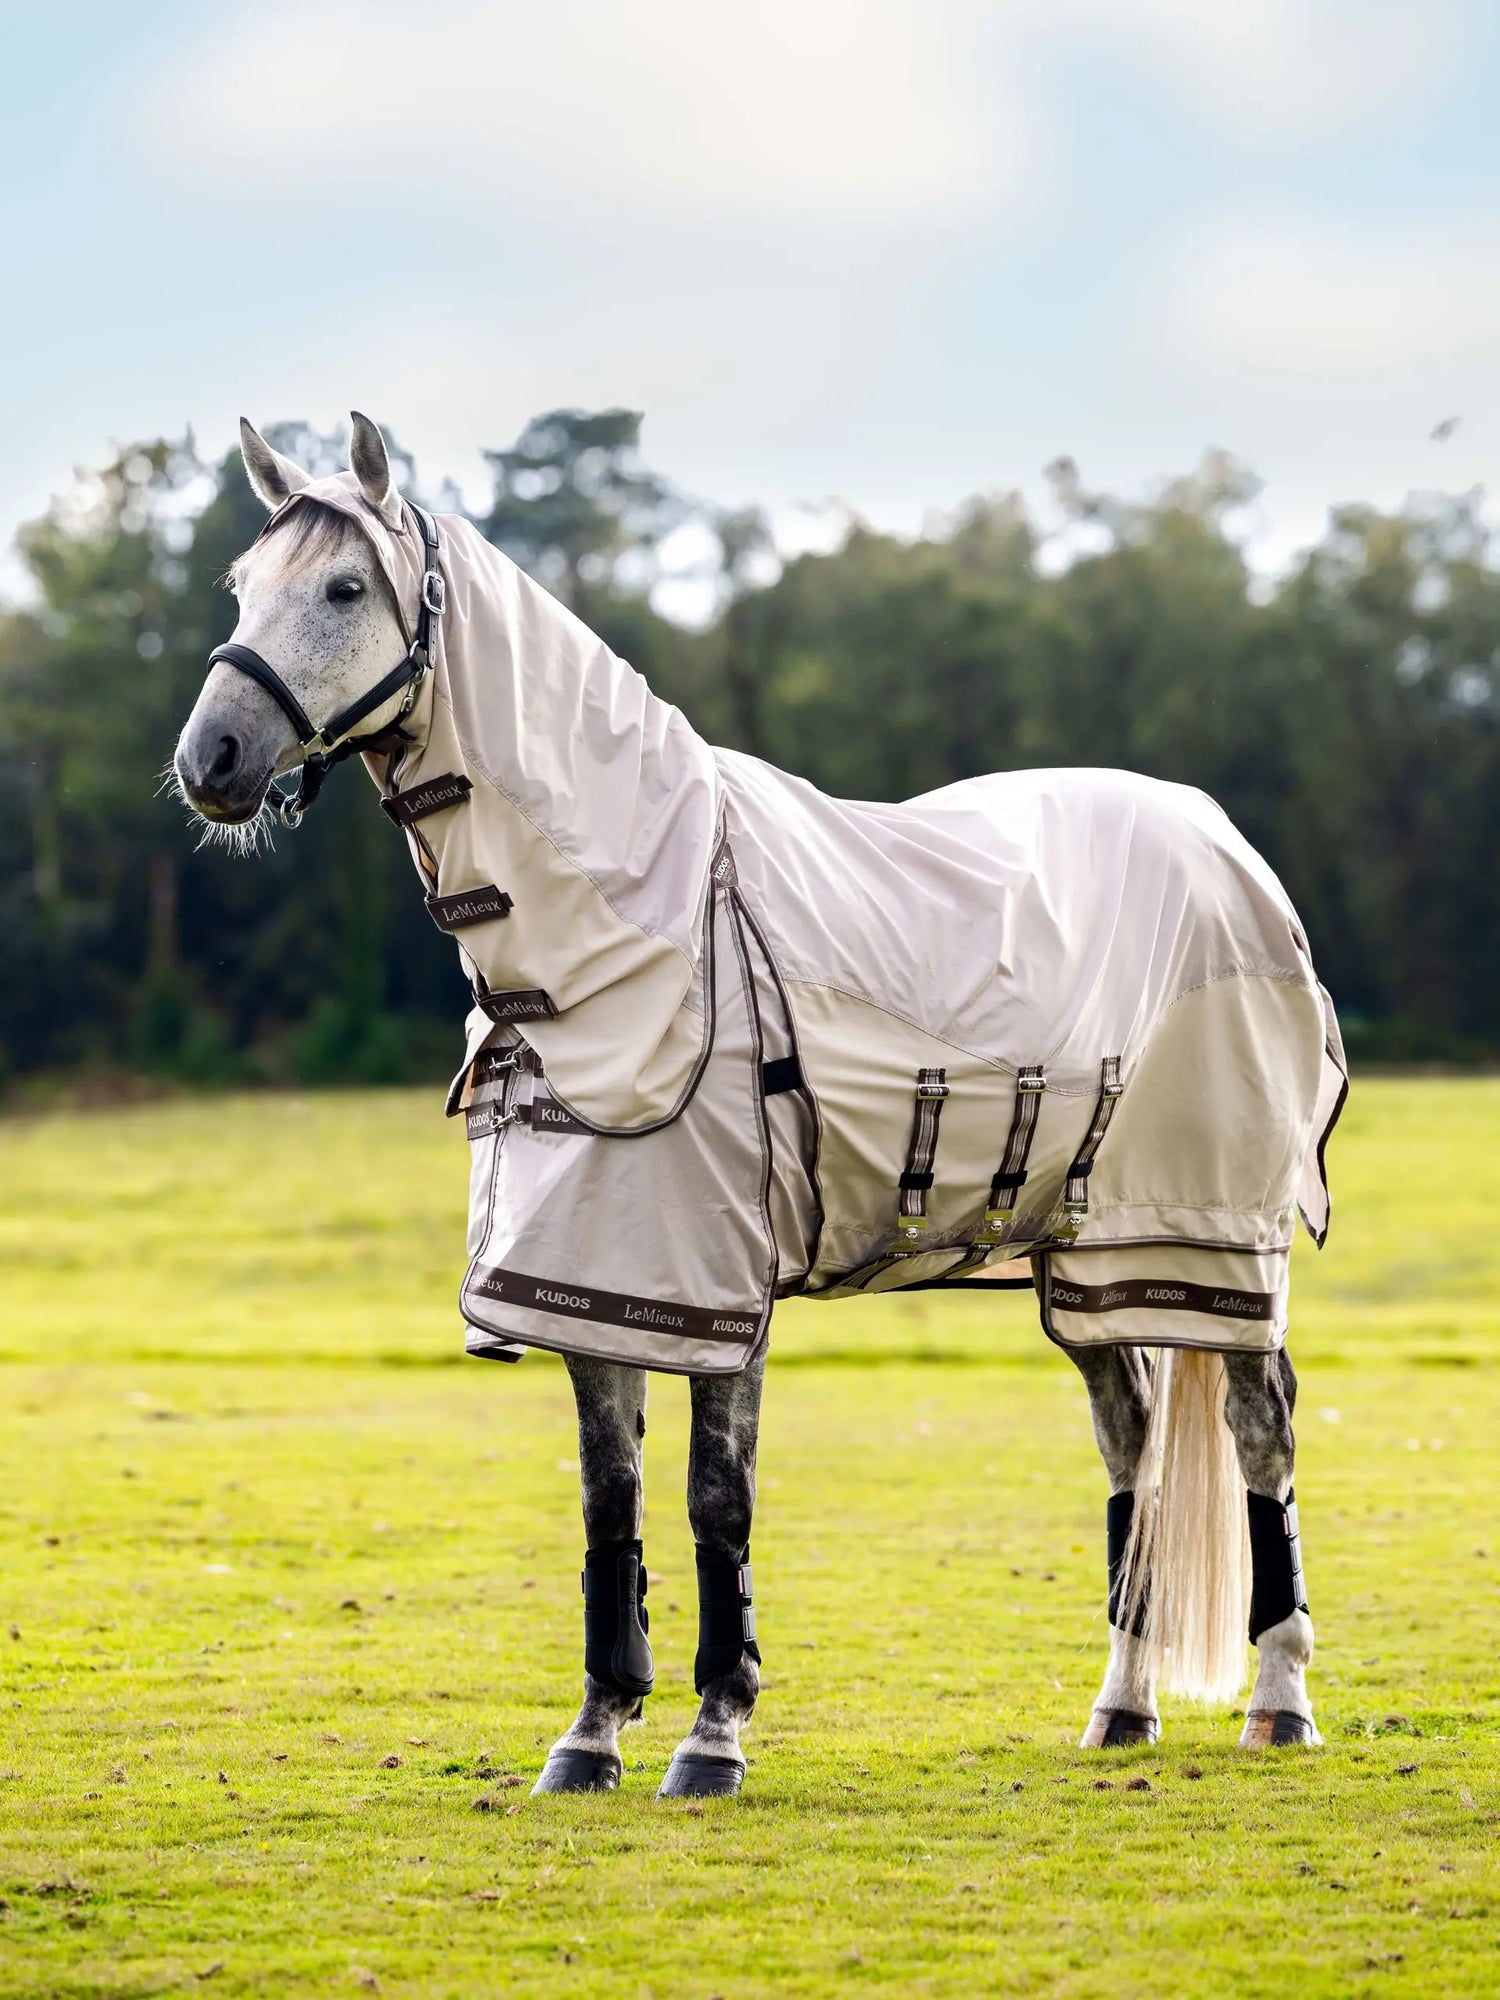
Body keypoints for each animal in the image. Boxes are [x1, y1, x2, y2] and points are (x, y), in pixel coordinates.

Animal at [173, 412, 1345, 1796]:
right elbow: (610, 1500)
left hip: (1211, 1246)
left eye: (346, 588)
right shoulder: (596, 1278)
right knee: (1134, 1445)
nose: (210, 760)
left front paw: (711, 1733)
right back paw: (1121, 1707)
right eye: (243, 586)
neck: (640, 934)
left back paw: (1279, 1700)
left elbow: (711, 1498)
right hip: (1091, 1263)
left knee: (1262, 1436)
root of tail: (1232, 852)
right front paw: (592, 1731)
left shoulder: (718, 1294)